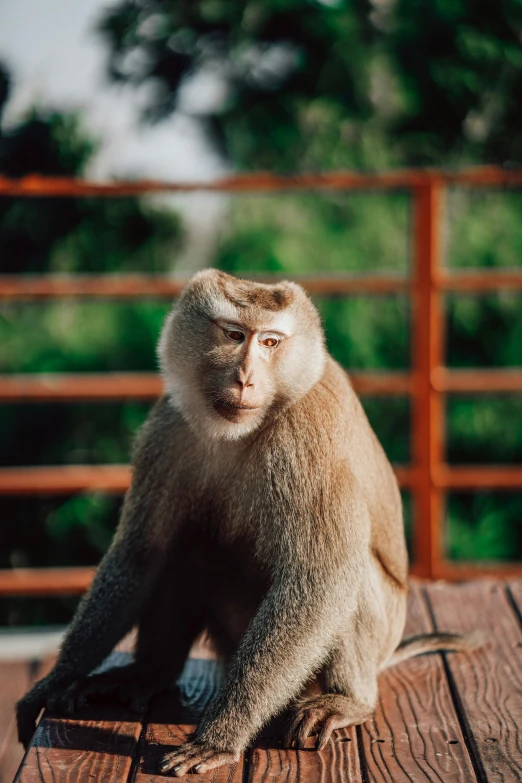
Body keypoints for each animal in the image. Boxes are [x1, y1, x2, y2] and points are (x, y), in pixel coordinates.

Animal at [15, 272, 480, 776]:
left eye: (270, 342)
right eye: (235, 334)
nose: (245, 377)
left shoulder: (306, 437)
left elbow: (320, 578)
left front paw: (220, 736)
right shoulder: (169, 426)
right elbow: (141, 553)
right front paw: (57, 680)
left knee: (346, 576)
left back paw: (348, 701)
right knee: (188, 548)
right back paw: (149, 673)